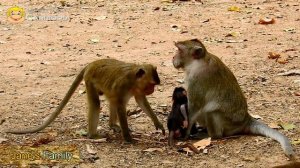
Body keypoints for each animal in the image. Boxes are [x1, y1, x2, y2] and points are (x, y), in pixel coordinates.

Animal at [7, 58, 165, 142]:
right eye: (151, 85)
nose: (152, 90)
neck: (133, 80)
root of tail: (92, 63)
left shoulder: (137, 90)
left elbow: (140, 101)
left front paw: (158, 123)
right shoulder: (123, 85)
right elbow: (121, 107)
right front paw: (127, 137)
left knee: (112, 100)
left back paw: (112, 125)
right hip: (89, 81)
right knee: (97, 103)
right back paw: (93, 135)